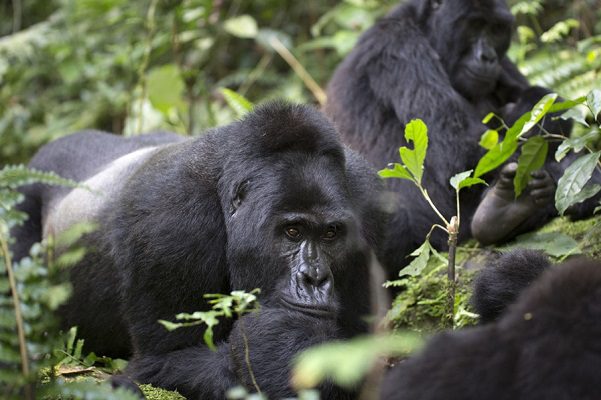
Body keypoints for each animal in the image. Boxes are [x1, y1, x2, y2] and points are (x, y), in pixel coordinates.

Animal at [9, 104, 382, 400]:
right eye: (292, 231)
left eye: (330, 234)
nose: (314, 278)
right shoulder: (171, 224)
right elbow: (161, 361)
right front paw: (281, 346)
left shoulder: (372, 204)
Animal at [324, 0, 600, 276]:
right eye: (474, 25)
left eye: (496, 29)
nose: (487, 57)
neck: (424, 27)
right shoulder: (398, 47)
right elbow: (459, 152)